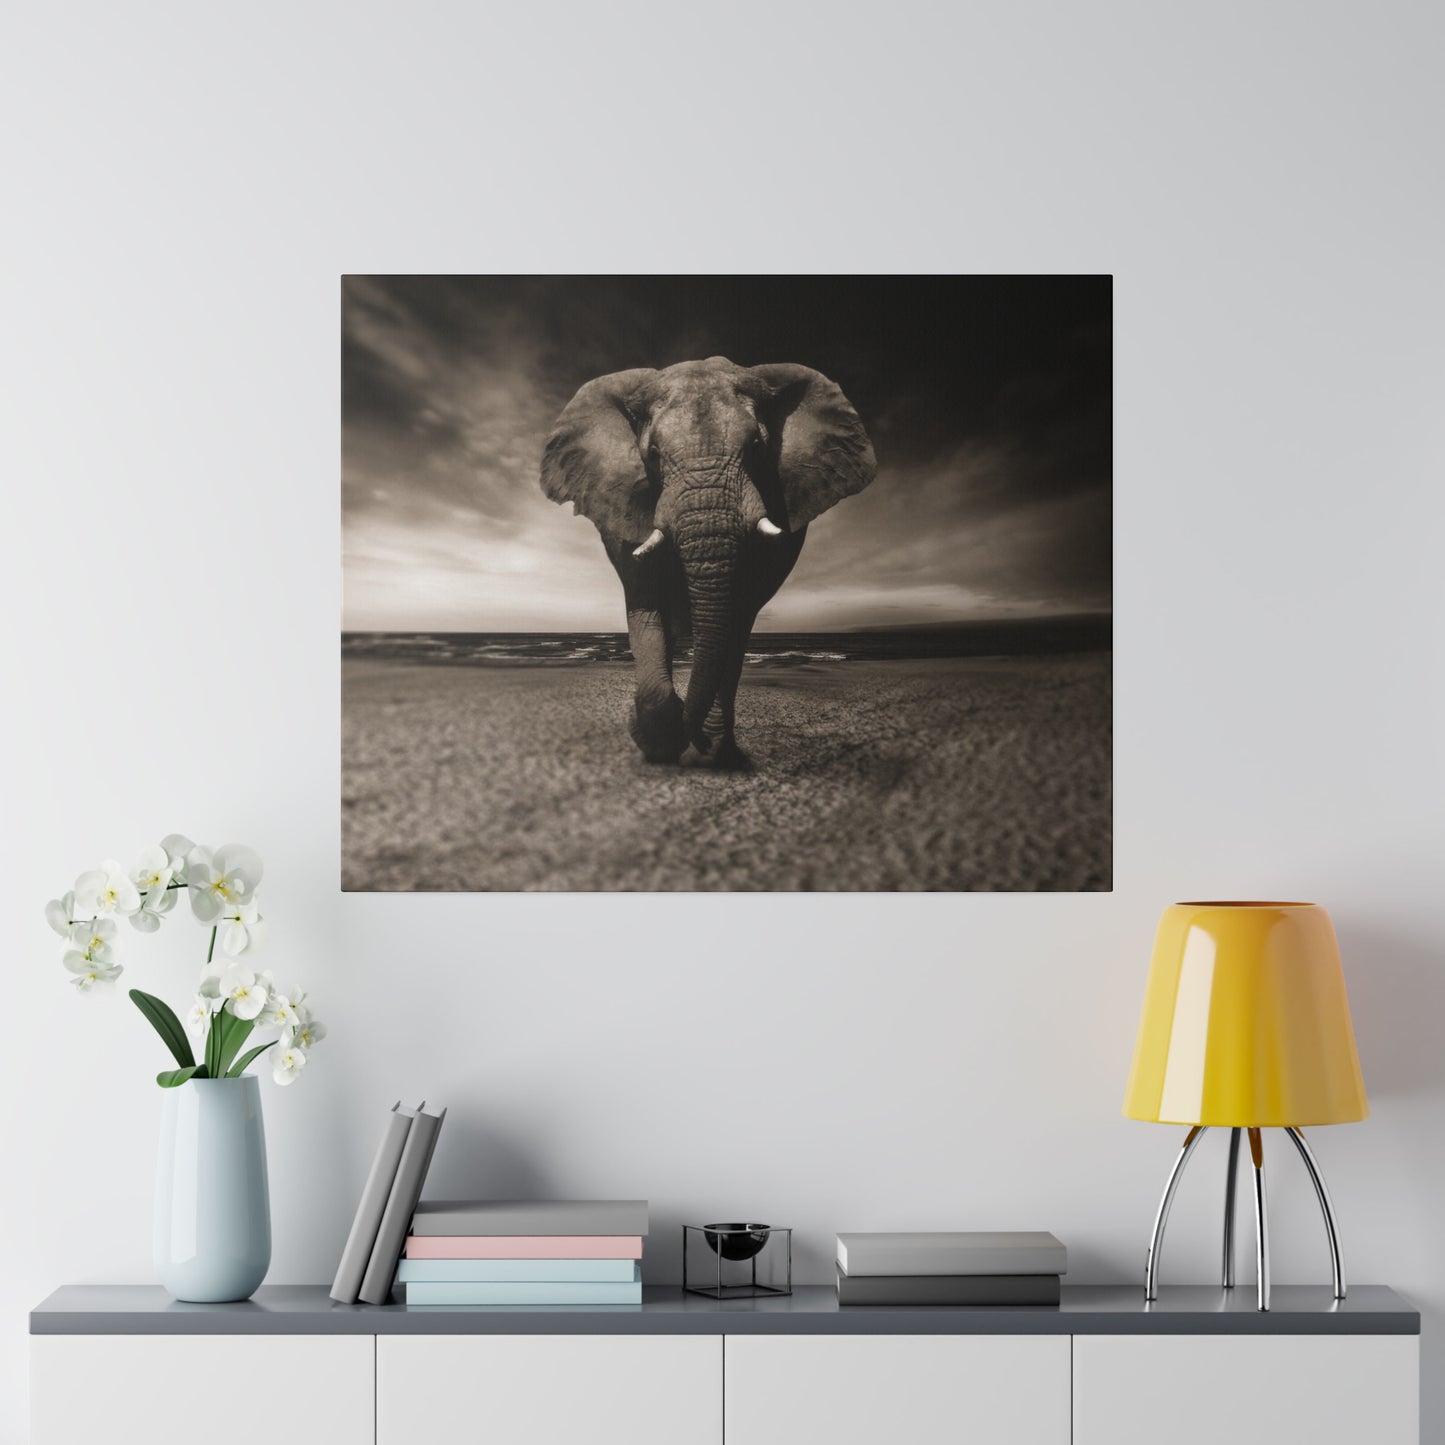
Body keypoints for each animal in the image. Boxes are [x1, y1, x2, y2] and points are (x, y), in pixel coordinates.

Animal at [543, 354, 872, 768]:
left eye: (757, 448)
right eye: (652, 455)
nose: (694, 737)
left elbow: (737, 617)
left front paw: (703, 745)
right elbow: (645, 602)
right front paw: (660, 743)